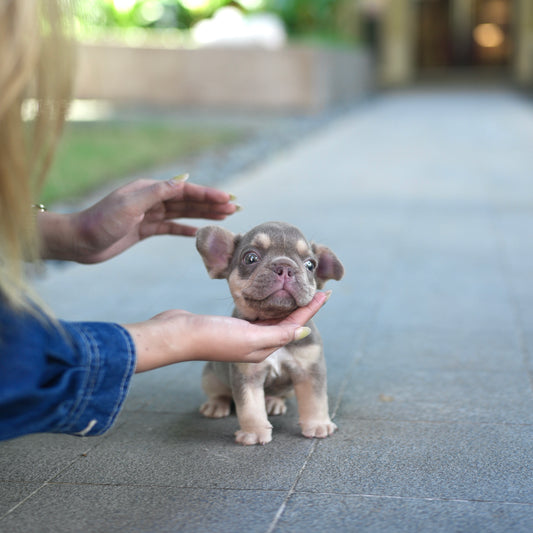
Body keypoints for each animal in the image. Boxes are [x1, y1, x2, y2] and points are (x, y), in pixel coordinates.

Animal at [194, 220, 340, 444]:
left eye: (310, 265)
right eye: (250, 258)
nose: (285, 266)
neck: (274, 320)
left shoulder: (310, 369)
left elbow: (315, 400)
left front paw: (318, 424)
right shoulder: (247, 374)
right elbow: (250, 407)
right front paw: (254, 432)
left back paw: (273, 402)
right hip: (210, 375)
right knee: (220, 392)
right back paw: (216, 404)